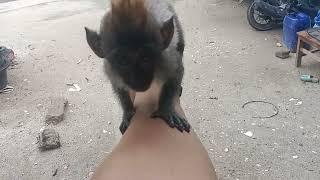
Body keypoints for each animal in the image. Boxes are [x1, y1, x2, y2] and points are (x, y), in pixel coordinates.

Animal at [85, 0, 190, 134]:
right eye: (123, 61)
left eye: (146, 58)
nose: (137, 79)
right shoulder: (111, 70)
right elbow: (118, 87)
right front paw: (128, 112)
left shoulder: (168, 59)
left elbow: (176, 73)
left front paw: (165, 110)